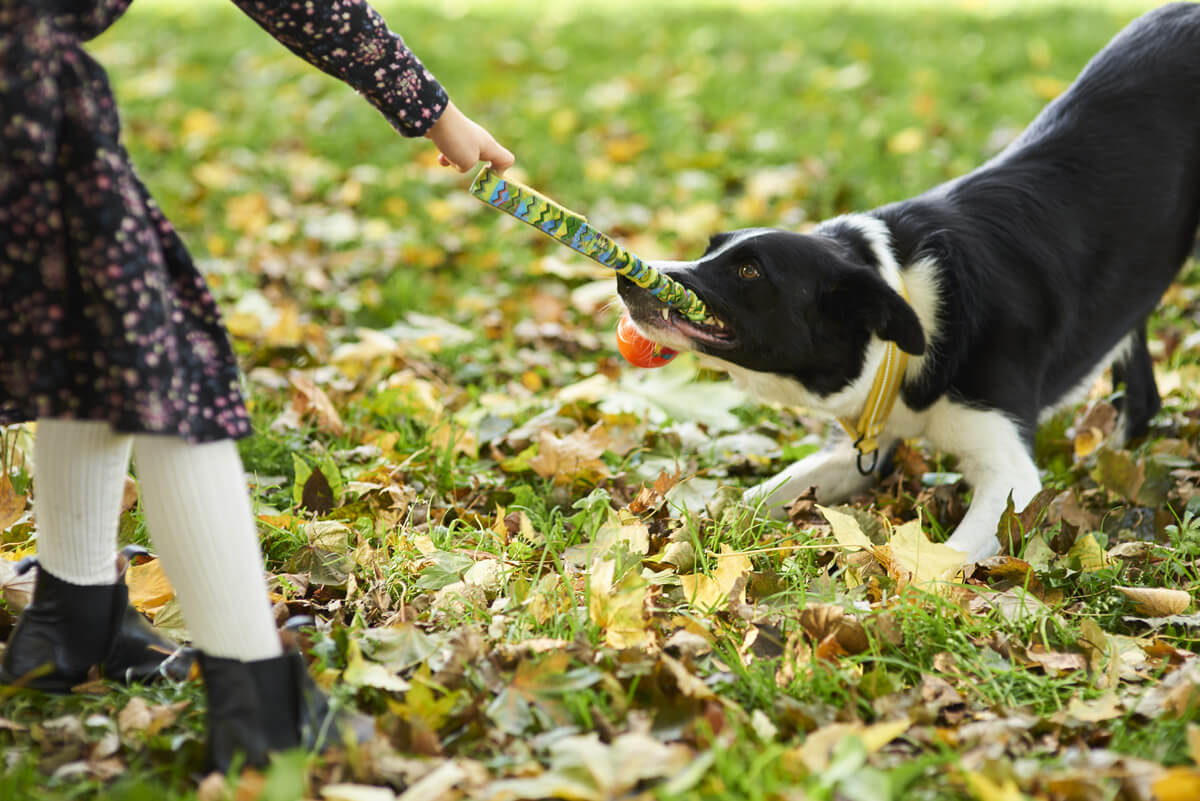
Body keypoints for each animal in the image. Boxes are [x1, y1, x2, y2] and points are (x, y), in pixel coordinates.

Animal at [619, 1, 1200, 563]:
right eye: (708, 248)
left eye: (749, 270)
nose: (625, 281)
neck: (902, 294)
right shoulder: (858, 448)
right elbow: (751, 498)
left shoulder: (1010, 473)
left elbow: (941, 561)